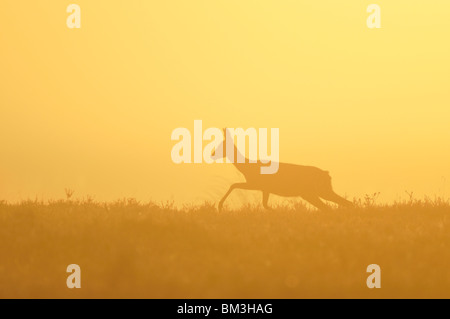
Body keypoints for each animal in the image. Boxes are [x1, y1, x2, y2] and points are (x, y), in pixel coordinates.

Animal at [214, 129, 356, 211]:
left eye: (222, 145)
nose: (212, 153)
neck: (247, 167)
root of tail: (327, 174)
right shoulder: (265, 188)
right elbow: (265, 205)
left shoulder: (256, 184)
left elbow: (233, 185)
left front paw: (220, 206)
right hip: (321, 191)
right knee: (343, 204)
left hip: (312, 192)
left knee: (329, 208)